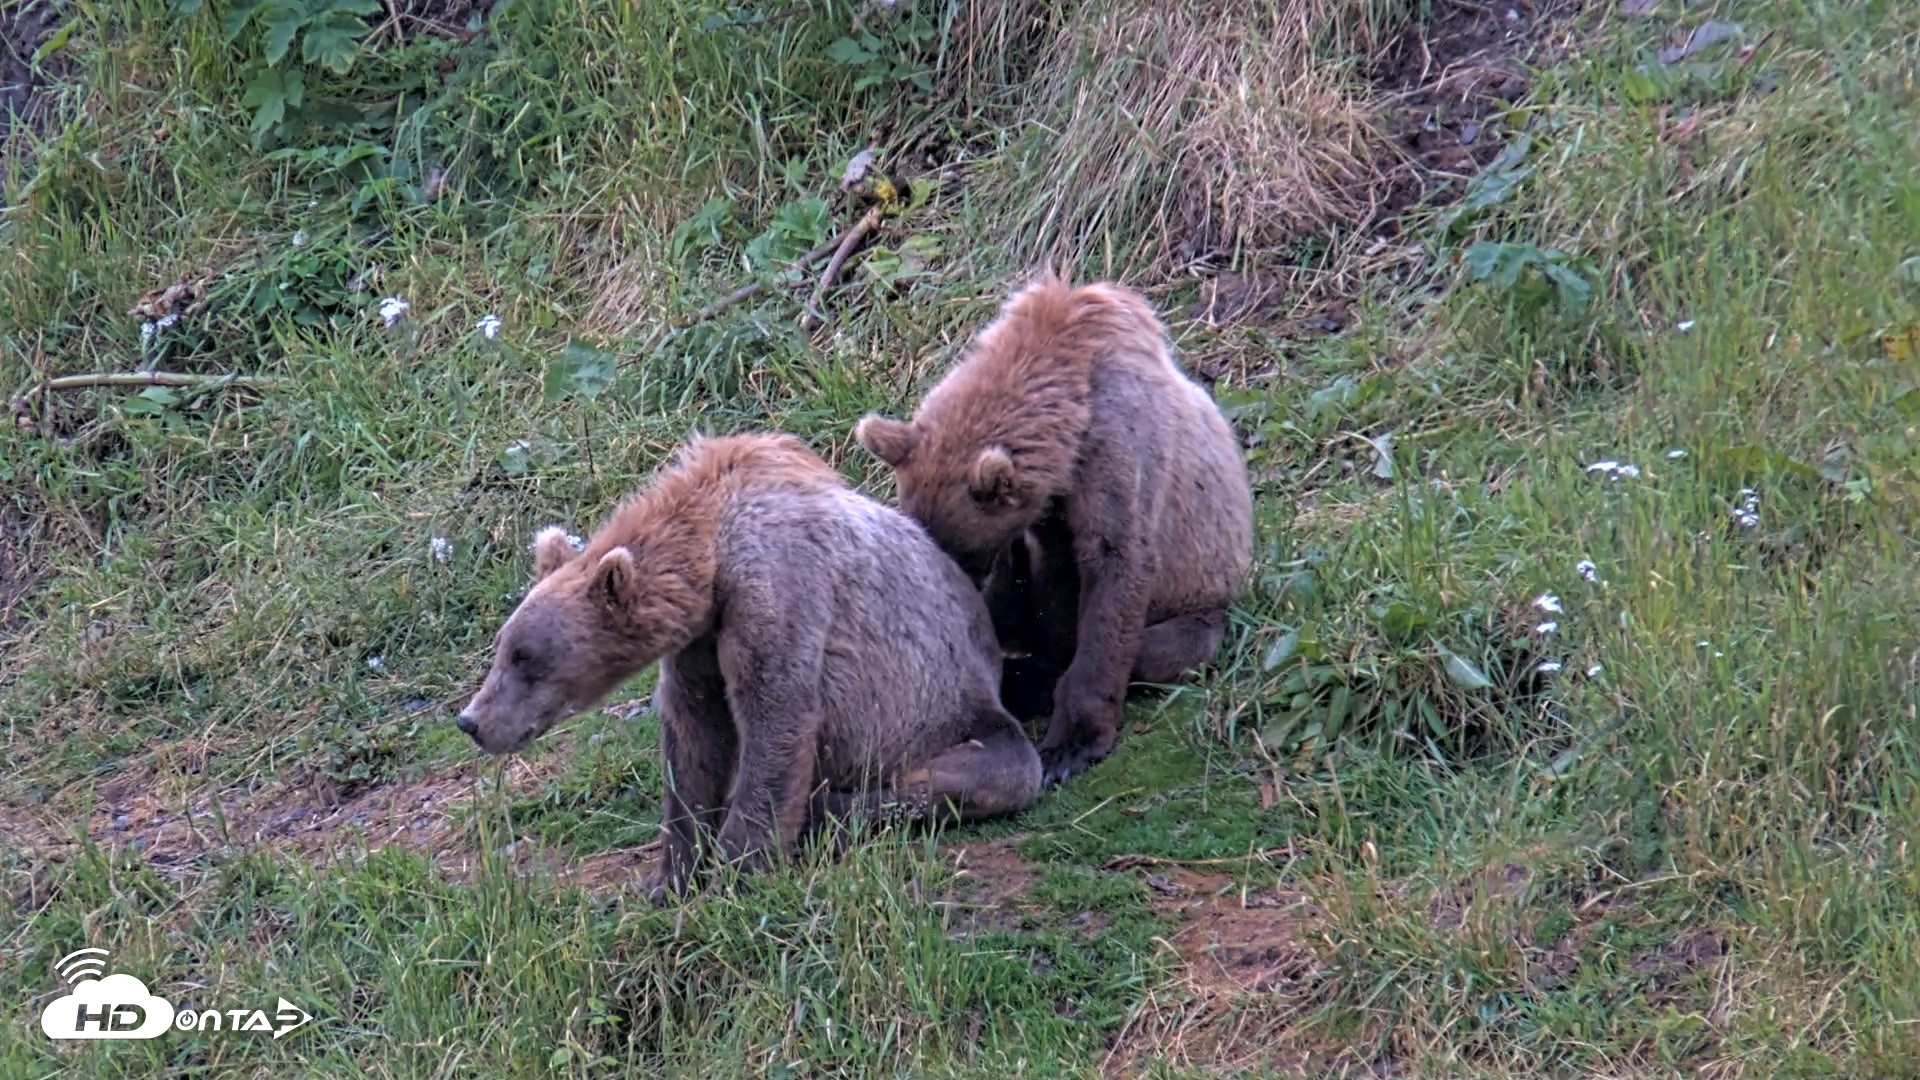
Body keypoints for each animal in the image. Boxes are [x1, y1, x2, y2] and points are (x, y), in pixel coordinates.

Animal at [454, 431, 1043, 902]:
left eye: (526, 657)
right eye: (502, 647)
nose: (472, 720)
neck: (711, 550)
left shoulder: (777, 582)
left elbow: (774, 713)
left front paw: (736, 871)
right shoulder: (699, 643)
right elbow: (694, 740)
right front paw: (670, 879)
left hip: (954, 720)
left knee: (976, 777)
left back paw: (829, 813)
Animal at [853, 272, 1254, 786]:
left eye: (964, 551)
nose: (949, 592)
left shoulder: (1119, 443)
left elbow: (1116, 563)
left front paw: (1070, 745)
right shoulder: (1045, 515)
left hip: (1202, 602)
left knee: (1160, 647)